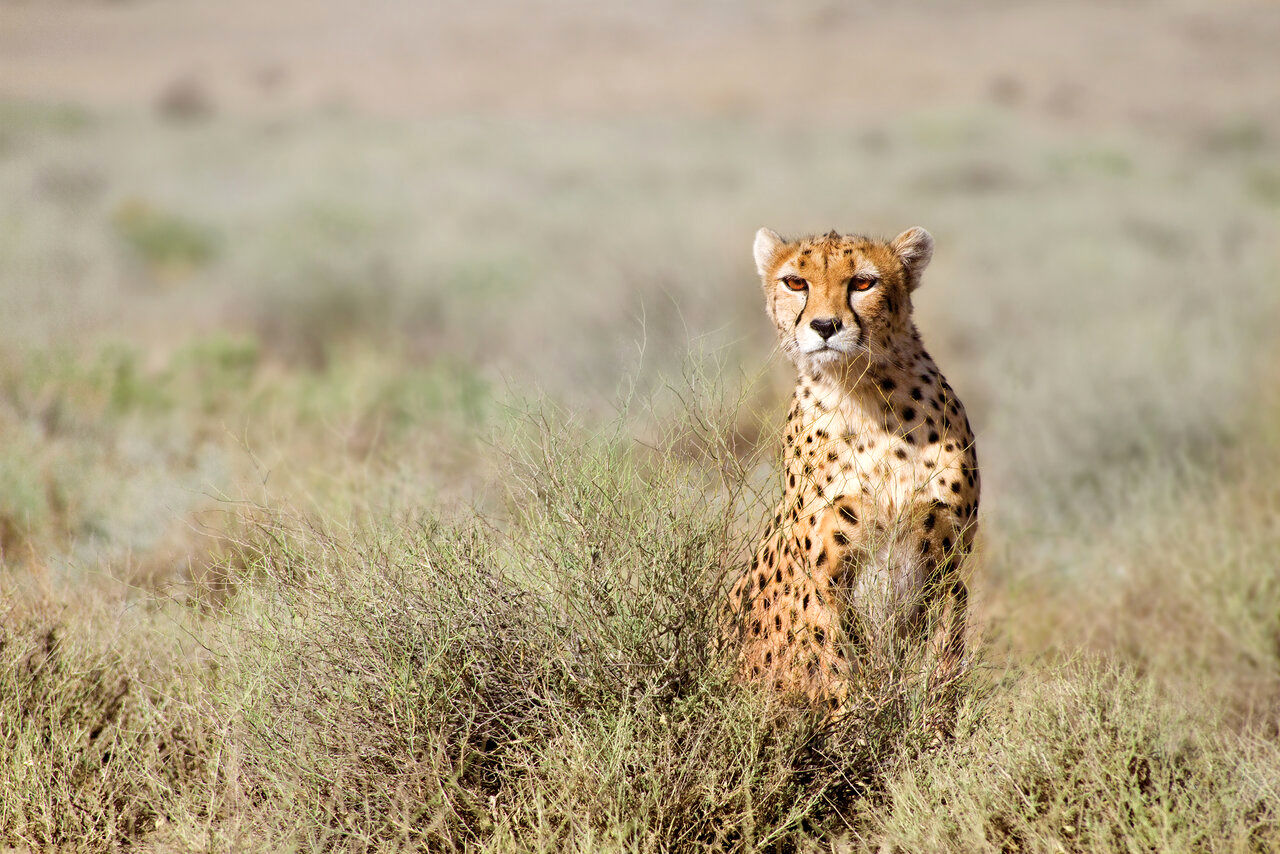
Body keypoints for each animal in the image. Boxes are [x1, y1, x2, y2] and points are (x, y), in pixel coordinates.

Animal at [732, 224, 977, 711]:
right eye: (795, 282)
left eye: (863, 282)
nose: (825, 327)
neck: (866, 397)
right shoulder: (823, 579)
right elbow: (837, 668)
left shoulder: (948, 567)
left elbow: (942, 669)